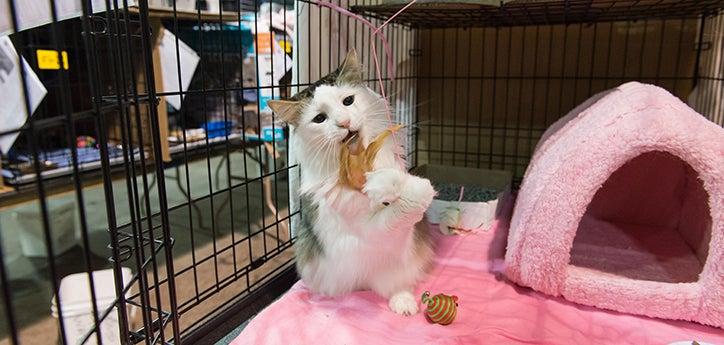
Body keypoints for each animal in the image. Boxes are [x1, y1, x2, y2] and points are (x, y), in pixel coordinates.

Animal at [268, 49, 432, 314]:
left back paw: (404, 304)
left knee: (399, 284)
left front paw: (389, 184)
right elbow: (397, 208)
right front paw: (384, 185)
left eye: (348, 101)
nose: (344, 123)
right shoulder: (362, 230)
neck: (361, 166)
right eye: (320, 118)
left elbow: (413, 198)